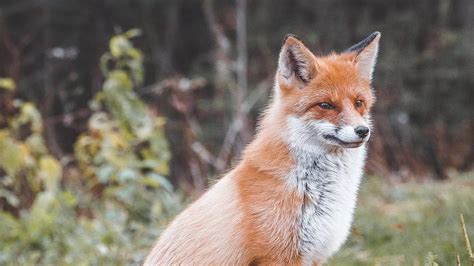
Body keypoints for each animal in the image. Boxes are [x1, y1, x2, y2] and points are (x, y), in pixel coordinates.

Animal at [144, 30, 382, 264]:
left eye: (359, 103)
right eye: (326, 105)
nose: (362, 130)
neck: (312, 188)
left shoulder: (314, 256)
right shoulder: (277, 255)